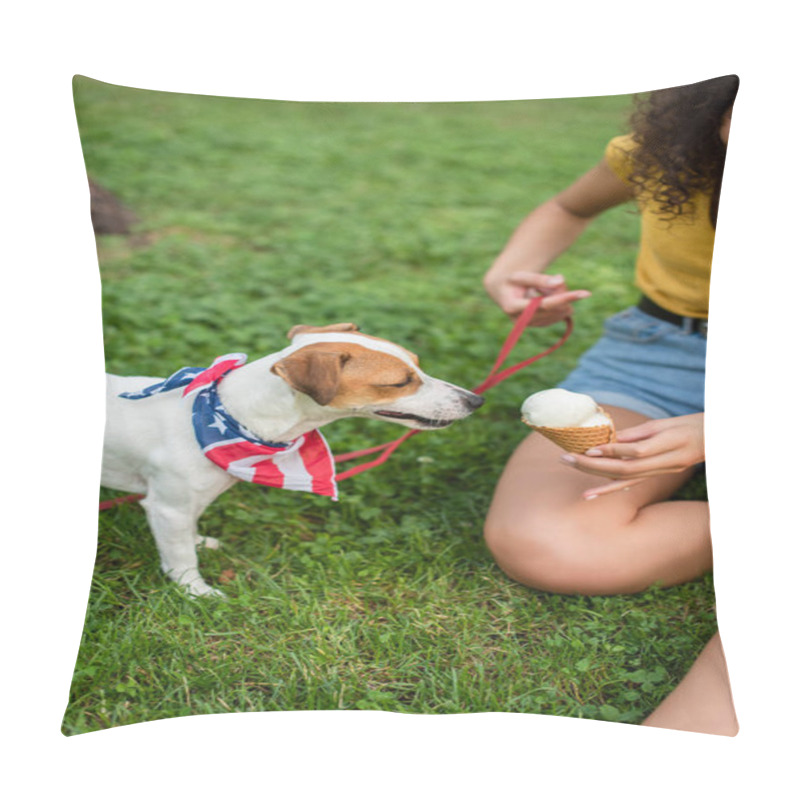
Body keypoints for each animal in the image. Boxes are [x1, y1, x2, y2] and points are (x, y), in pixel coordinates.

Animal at [103, 320, 484, 592]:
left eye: (418, 367)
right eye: (400, 382)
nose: (475, 400)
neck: (227, 415)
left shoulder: (183, 505)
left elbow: (189, 531)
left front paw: (199, 541)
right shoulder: (168, 506)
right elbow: (180, 558)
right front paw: (197, 592)